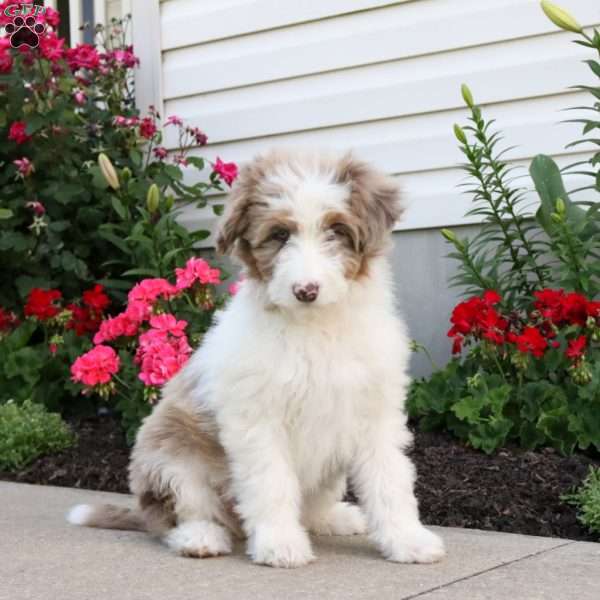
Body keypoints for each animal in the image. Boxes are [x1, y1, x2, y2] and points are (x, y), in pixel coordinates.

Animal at [69, 149, 446, 568]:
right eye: (280, 235)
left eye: (336, 231)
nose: (306, 290)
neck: (315, 327)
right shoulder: (257, 420)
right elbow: (272, 483)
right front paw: (280, 544)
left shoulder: (375, 411)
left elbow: (390, 480)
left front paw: (408, 540)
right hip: (172, 459)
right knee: (176, 515)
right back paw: (200, 537)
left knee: (313, 503)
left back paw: (334, 517)